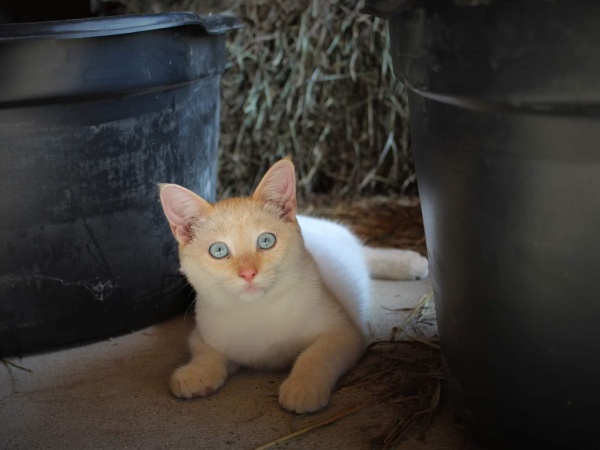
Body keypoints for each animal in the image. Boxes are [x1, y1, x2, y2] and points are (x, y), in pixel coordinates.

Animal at [159, 158, 428, 414]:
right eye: (218, 250)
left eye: (266, 241)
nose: (248, 273)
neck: (258, 312)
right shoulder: (204, 331)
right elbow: (205, 351)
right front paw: (196, 372)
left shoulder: (343, 333)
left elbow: (315, 356)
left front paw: (303, 386)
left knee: (367, 254)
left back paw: (410, 263)